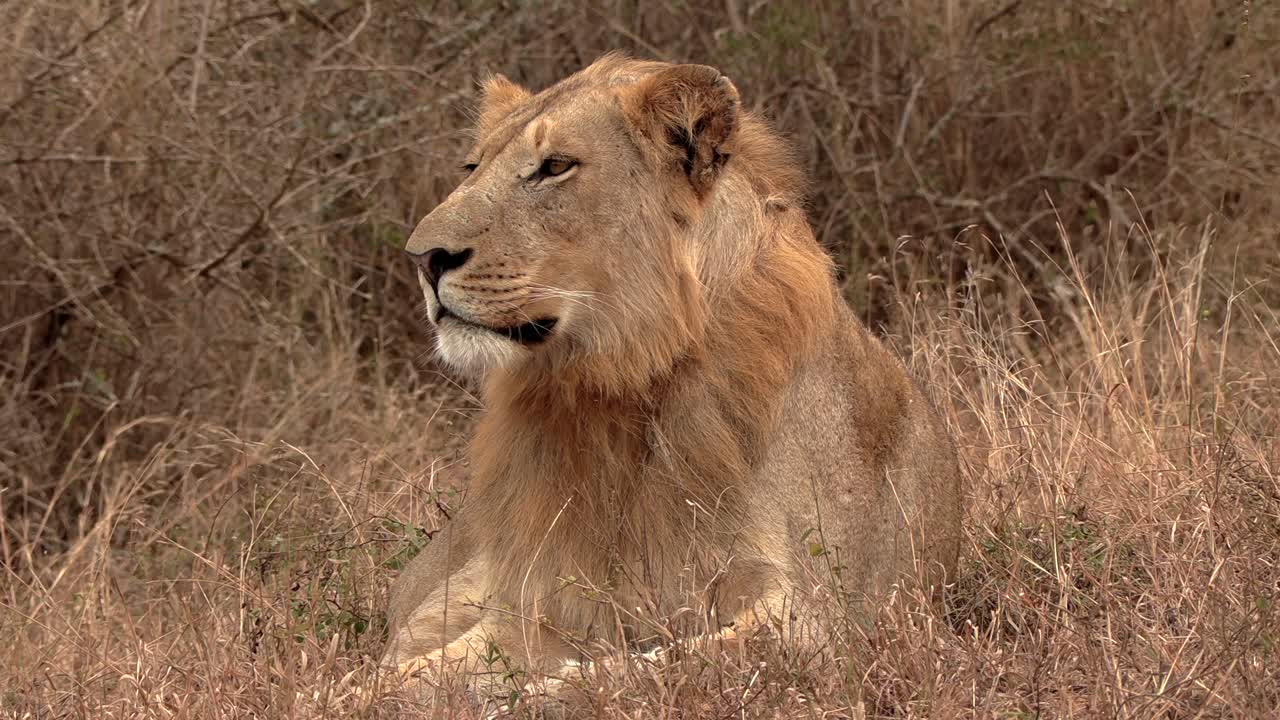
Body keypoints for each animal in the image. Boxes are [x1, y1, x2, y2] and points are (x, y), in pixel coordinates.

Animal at [384, 53, 961, 693]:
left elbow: (636, 671)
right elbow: (404, 679)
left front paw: (541, 692)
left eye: (554, 167)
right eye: (473, 166)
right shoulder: (539, 603)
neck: (624, 382)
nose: (423, 258)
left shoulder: (815, 617)